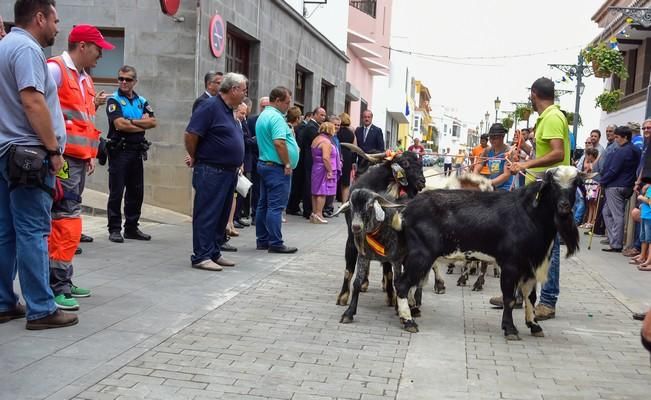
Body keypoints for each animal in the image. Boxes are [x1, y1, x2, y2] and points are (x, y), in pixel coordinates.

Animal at [336, 144, 428, 306]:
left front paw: (392, 296)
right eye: (405, 163)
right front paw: (343, 296)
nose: (422, 182)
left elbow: (389, 270)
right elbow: (349, 268)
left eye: (420, 163)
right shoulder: (352, 236)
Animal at [394, 167, 584, 340]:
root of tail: (407, 208)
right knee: (402, 284)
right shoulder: (511, 265)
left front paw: (534, 325)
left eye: (575, 184)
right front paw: (510, 329)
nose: (564, 206)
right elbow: (509, 298)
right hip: (421, 255)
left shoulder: (530, 266)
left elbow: (530, 296)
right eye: (553, 185)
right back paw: (409, 321)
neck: (529, 214)